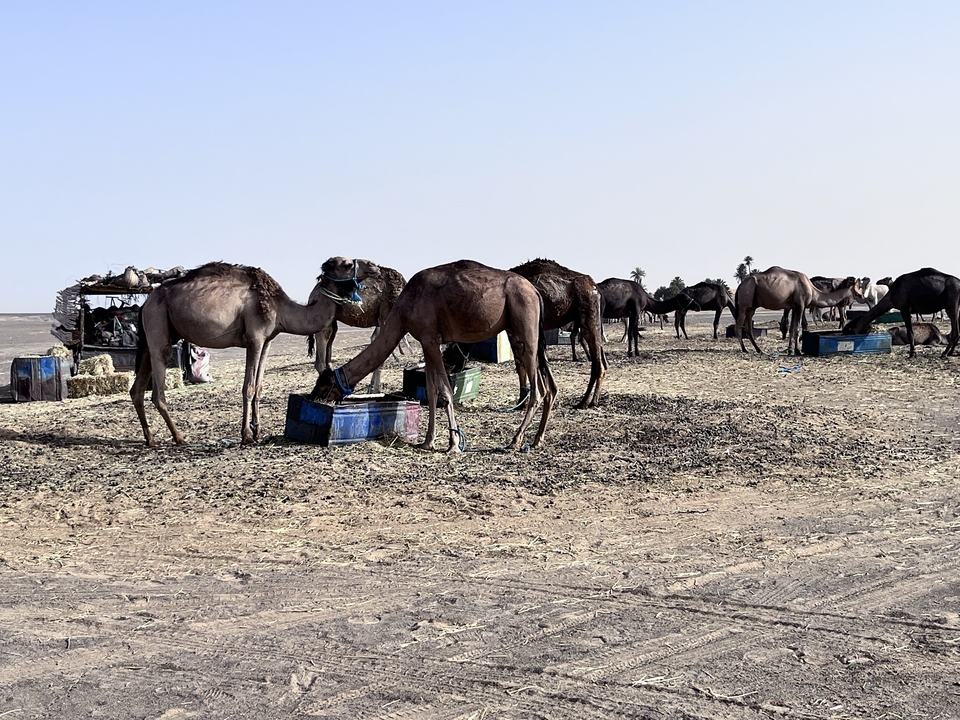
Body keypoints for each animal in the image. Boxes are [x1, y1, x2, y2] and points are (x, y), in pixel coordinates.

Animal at [131, 257, 380, 446]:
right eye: (346, 264)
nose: (374, 266)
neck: (280, 307)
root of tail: (146, 302)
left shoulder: (267, 341)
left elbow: (259, 387)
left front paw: (258, 431)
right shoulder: (255, 339)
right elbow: (248, 388)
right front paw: (247, 435)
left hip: (153, 335)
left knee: (136, 390)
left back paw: (151, 439)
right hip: (158, 328)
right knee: (157, 391)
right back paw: (179, 437)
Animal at [309, 260, 557, 452]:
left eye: (324, 385)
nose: (313, 397)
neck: (403, 310)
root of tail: (535, 292)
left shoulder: (430, 337)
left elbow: (445, 391)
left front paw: (454, 444)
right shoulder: (425, 340)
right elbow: (430, 391)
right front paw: (428, 441)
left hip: (524, 326)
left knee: (538, 390)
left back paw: (515, 441)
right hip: (529, 333)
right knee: (550, 386)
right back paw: (537, 440)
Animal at [509, 259, 605, 408]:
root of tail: (595, 287)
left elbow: (520, 365)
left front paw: (521, 403)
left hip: (589, 314)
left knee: (597, 364)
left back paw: (588, 401)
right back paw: (587, 400)